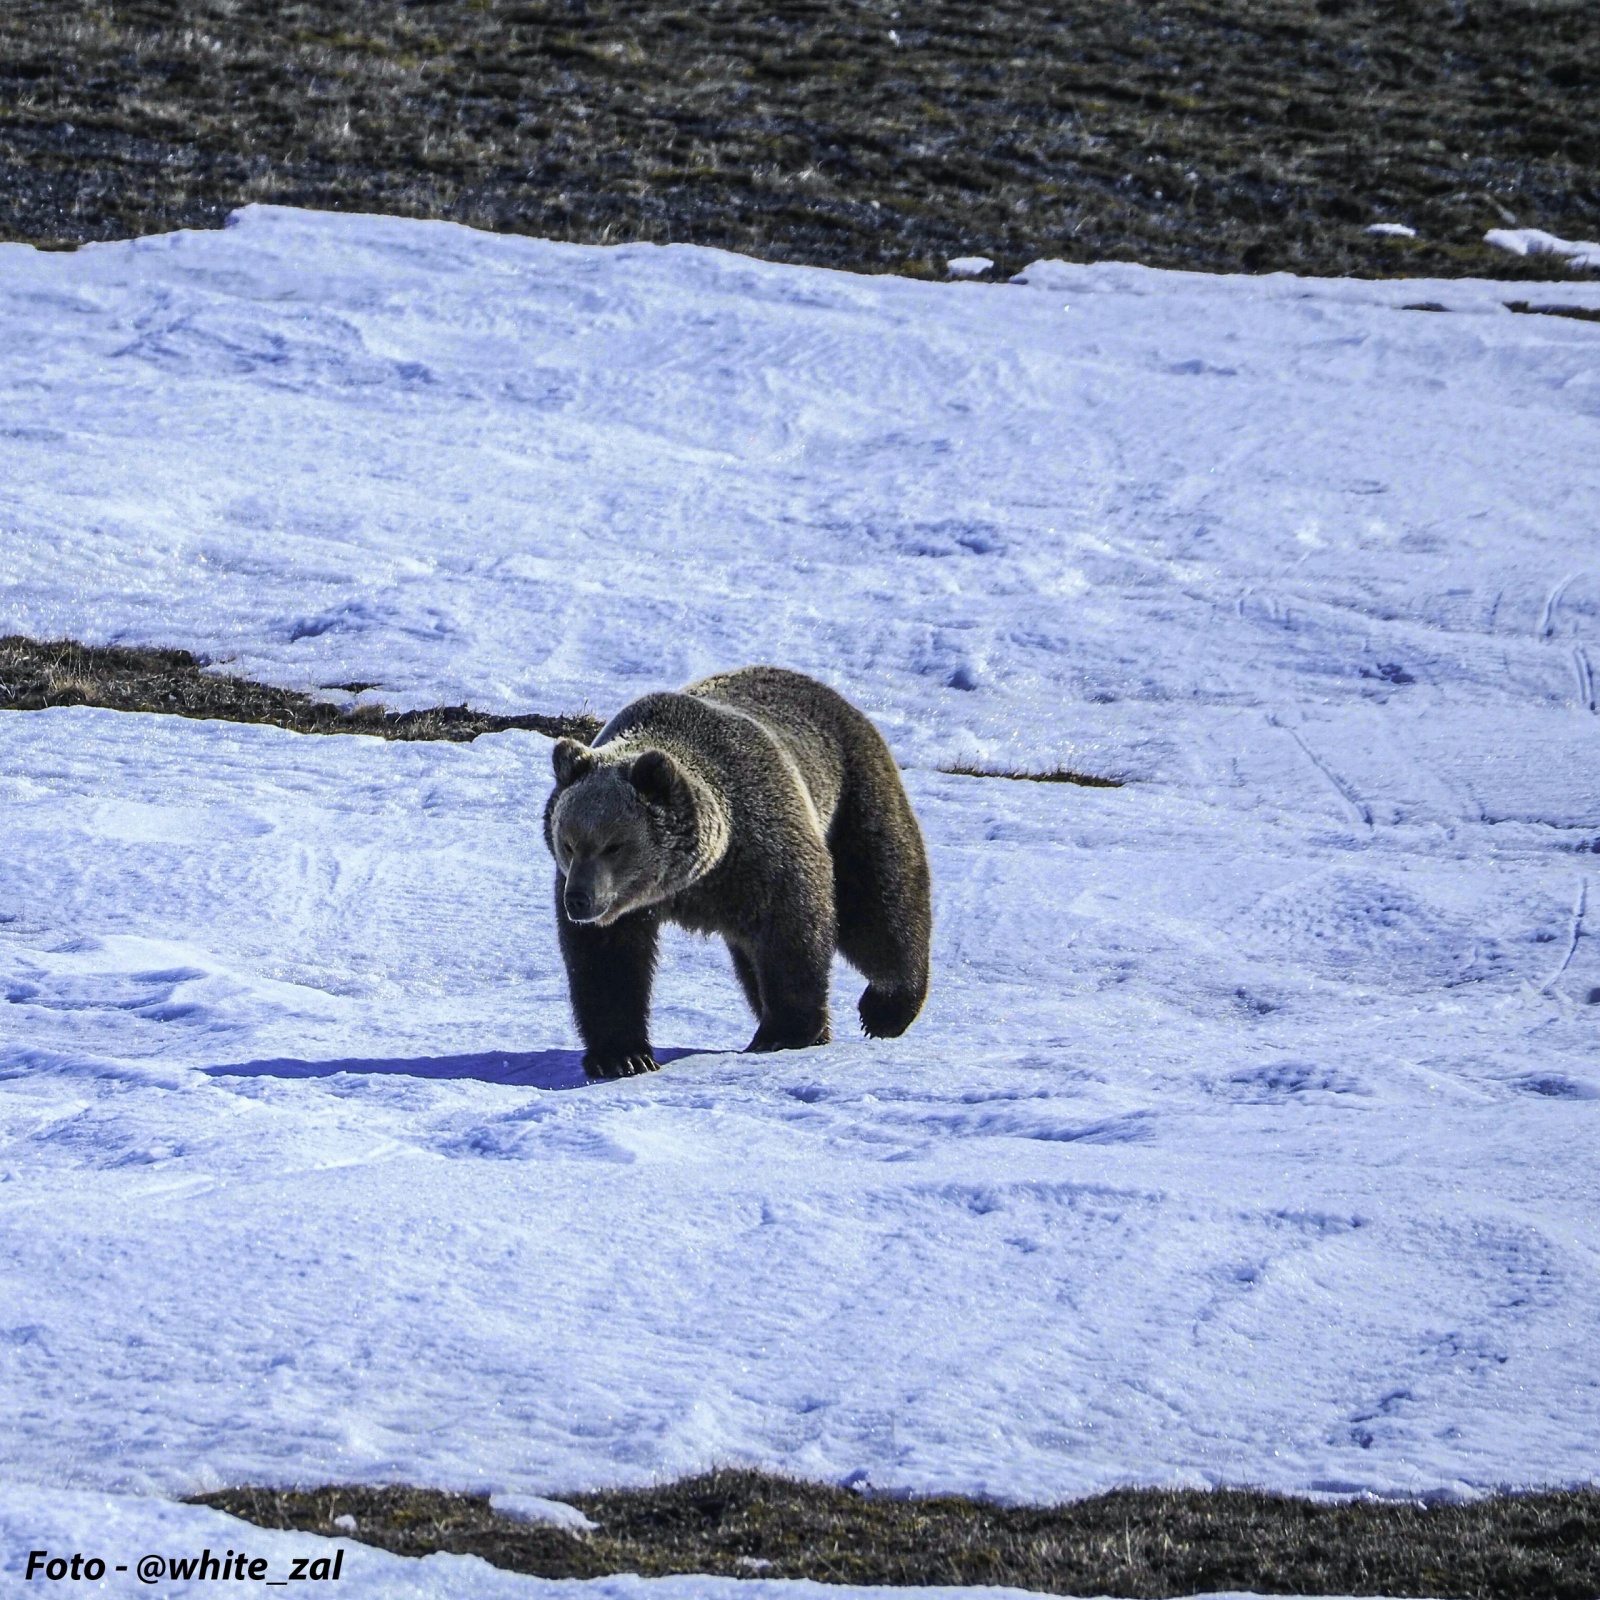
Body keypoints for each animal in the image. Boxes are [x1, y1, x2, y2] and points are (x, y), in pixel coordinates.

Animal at [544, 662, 934, 1075]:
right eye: (568, 843)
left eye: (613, 845)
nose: (578, 900)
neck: (691, 879)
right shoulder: (624, 906)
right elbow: (606, 964)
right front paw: (623, 1057)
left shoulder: (765, 848)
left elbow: (794, 930)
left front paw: (784, 1031)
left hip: (853, 798)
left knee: (881, 900)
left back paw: (887, 1008)